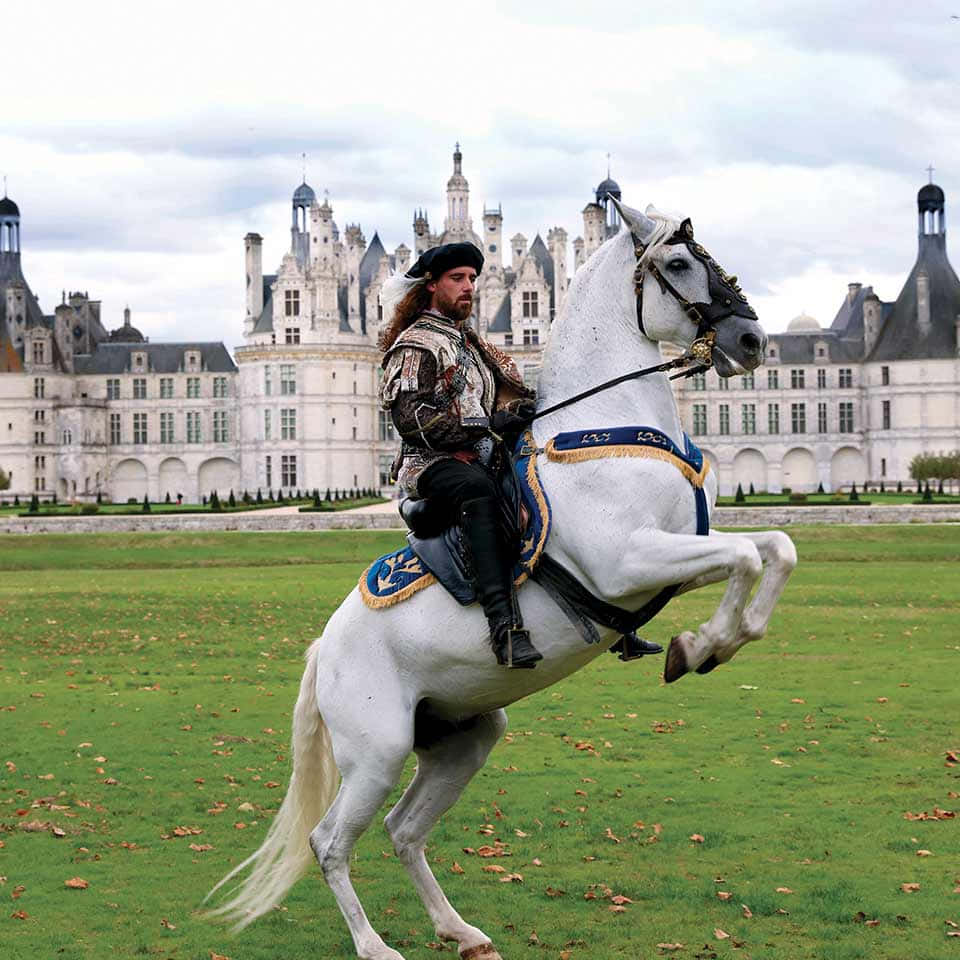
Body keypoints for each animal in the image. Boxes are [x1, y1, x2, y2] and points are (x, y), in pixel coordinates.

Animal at [206, 199, 800, 956]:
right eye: (677, 262)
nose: (753, 342)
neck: (610, 422)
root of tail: (321, 650)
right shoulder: (627, 562)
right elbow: (750, 556)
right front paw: (700, 646)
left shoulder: (680, 547)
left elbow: (774, 548)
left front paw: (710, 642)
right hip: (377, 750)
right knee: (329, 841)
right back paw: (375, 944)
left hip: (463, 737)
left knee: (403, 831)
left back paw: (459, 929)